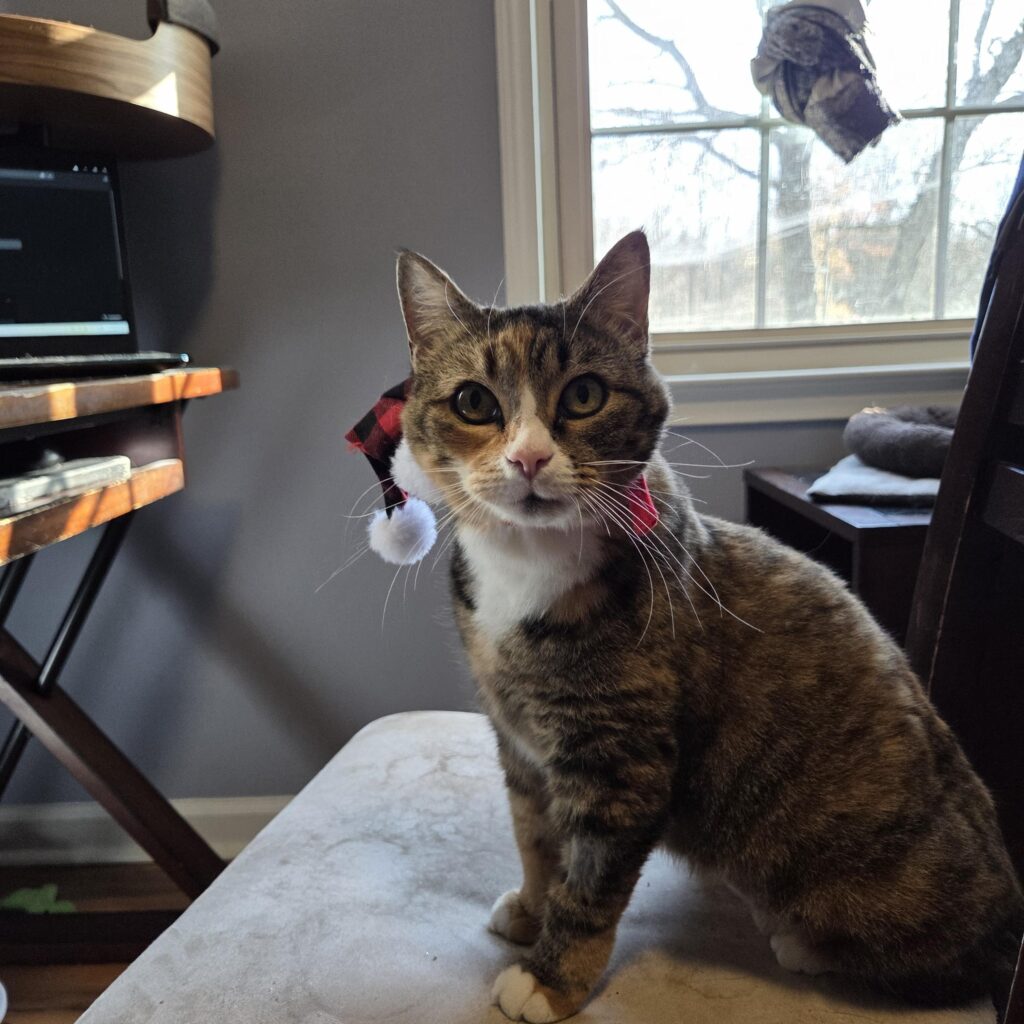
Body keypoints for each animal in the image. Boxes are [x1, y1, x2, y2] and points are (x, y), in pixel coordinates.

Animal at [393, 229, 1024, 1022]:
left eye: (584, 394)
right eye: (474, 400)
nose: (529, 457)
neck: (527, 569)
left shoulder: (621, 763)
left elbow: (589, 882)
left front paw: (550, 976)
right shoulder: (519, 741)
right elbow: (535, 836)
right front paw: (533, 912)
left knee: (950, 964)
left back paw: (806, 944)